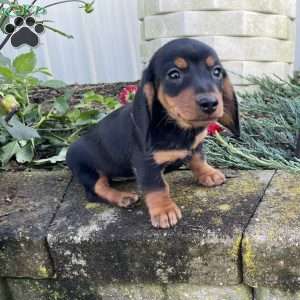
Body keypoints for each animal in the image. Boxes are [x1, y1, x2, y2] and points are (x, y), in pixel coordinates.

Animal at [67, 38, 240, 229]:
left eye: (216, 71)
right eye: (174, 75)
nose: (209, 103)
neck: (176, 126)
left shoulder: (195, 146)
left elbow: (198, 159)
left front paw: (208, 173)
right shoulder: (146, 162)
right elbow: (157, 186)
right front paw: (164, 210)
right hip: (88, 171)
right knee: (97, 190)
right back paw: (122, 197)